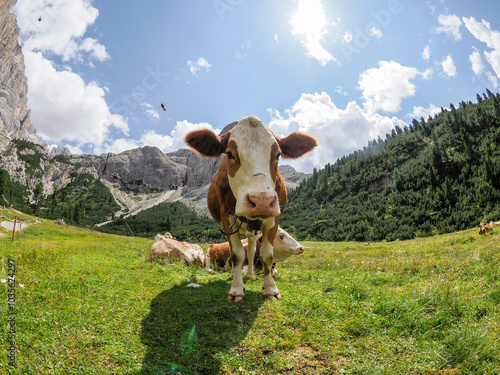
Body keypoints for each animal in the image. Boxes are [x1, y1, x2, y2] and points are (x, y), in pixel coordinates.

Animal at [184, 115, 316, 302]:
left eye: (278, 154)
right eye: (229, 153)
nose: (261, 201)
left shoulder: (274, 217)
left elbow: (267, 254)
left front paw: (271, 289)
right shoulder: (226, 217)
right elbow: (237, 254)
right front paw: (236, 289)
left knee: (253, 246)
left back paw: (251, 274)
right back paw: (234, 274)